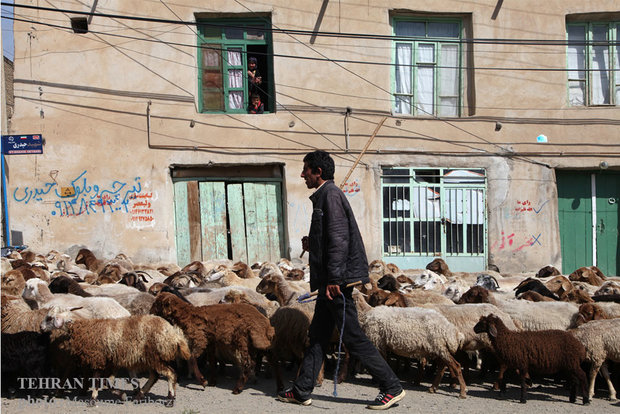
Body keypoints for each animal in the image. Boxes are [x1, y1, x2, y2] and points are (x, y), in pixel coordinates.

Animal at [40, 308, 190, 406]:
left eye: (49, 318)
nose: (41, 327)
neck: (85, 328)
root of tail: (174, 335)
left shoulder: (99, 359)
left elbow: (99, 381)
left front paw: (93, 400)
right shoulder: (109, 362)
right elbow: (107, 382)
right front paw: (120, 395)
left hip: (155, 356)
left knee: (170, 374)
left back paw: (170, 399)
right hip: (150, 358)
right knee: (155, 376)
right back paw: (139, 396)